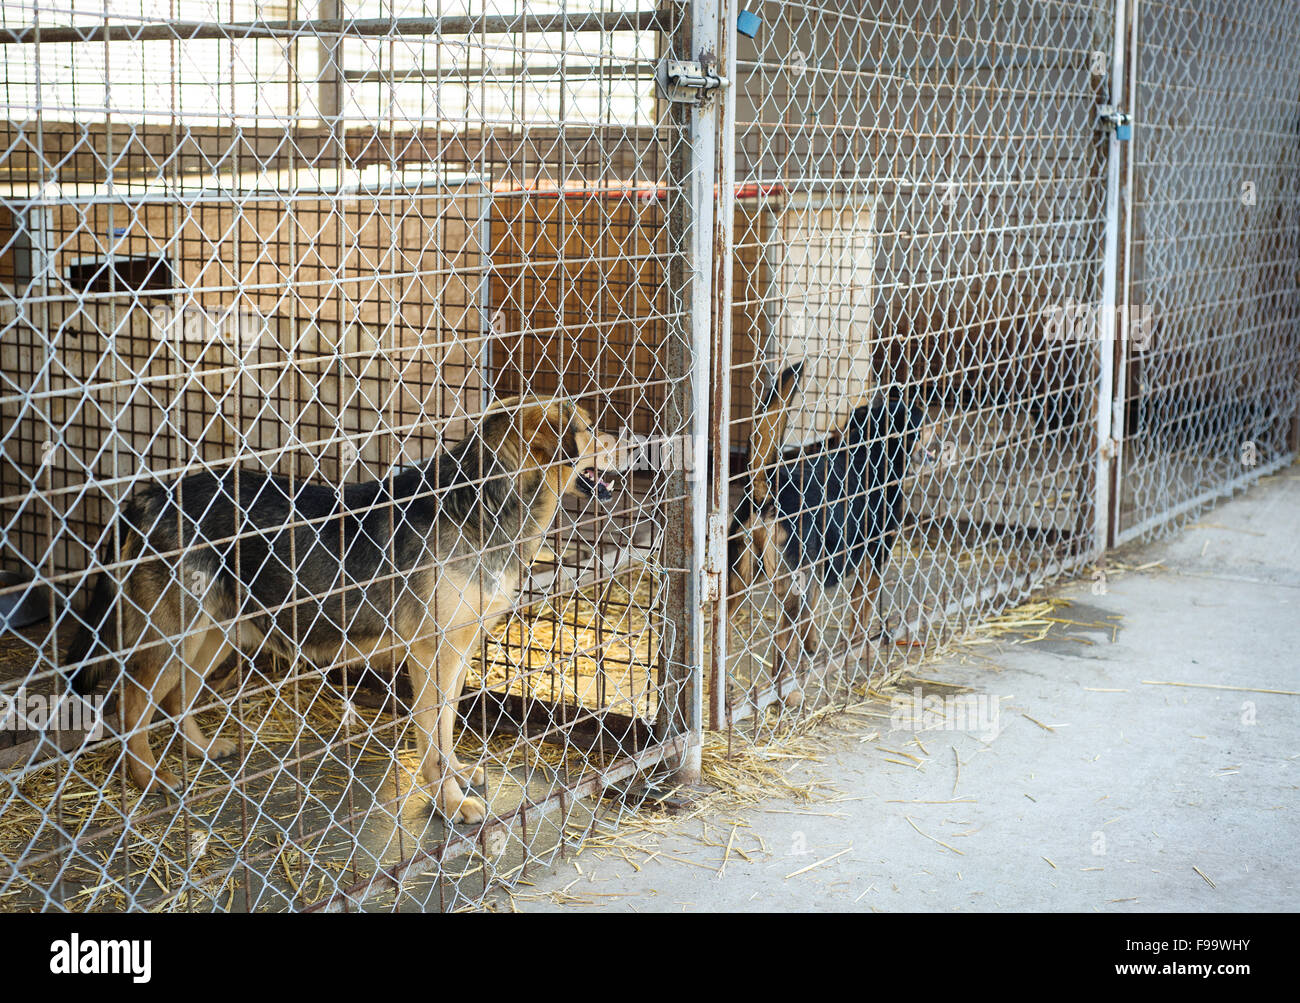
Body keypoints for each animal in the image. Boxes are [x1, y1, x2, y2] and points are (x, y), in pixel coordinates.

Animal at [733, 363, 935, 701]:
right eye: (923, 423)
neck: (870, 450)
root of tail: (768, 491)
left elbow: (814, 618)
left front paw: (813, 646)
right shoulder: (874, 557)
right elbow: (861, 609)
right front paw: (860, 649)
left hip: (736, 581)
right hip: (793, 588)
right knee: (781, 647)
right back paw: (787, 693)